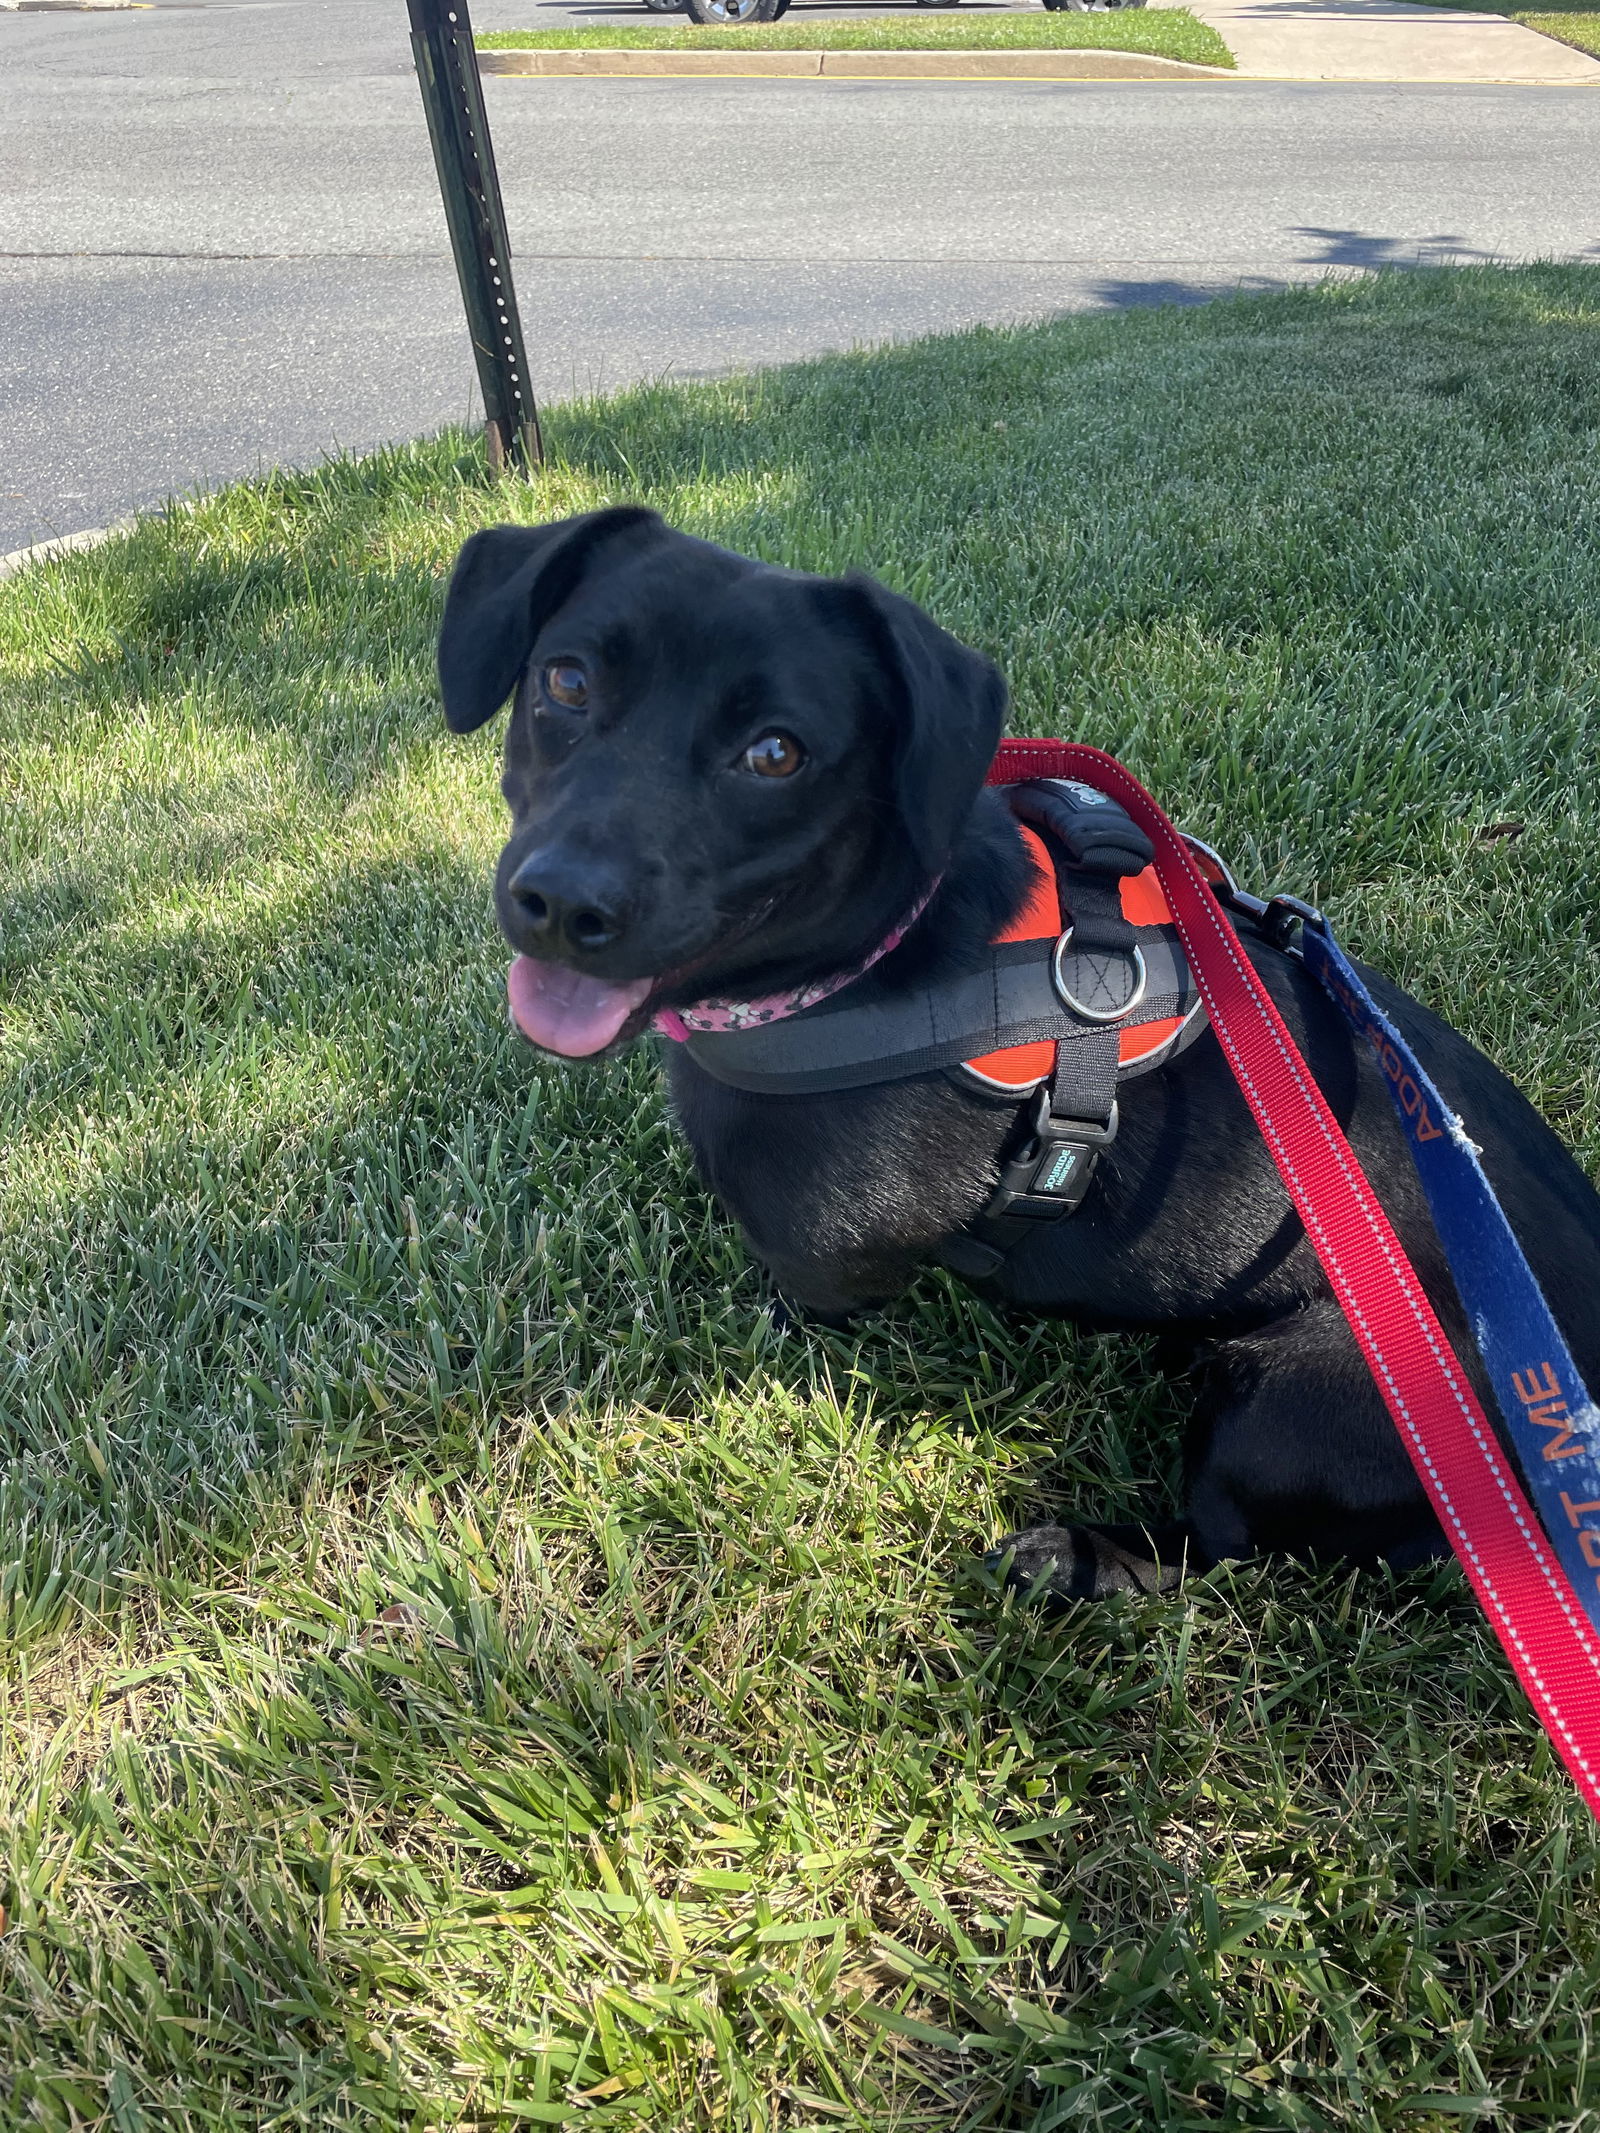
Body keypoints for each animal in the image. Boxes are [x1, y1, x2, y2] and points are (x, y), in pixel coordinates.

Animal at [439, 503, 1600, 1604]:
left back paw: (1083, 1559)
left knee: (1224, 1545)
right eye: (566, 679)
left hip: (1305, 1397)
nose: (563, 903)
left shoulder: (828, 1270)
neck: (870, 952)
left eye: (776, 753)